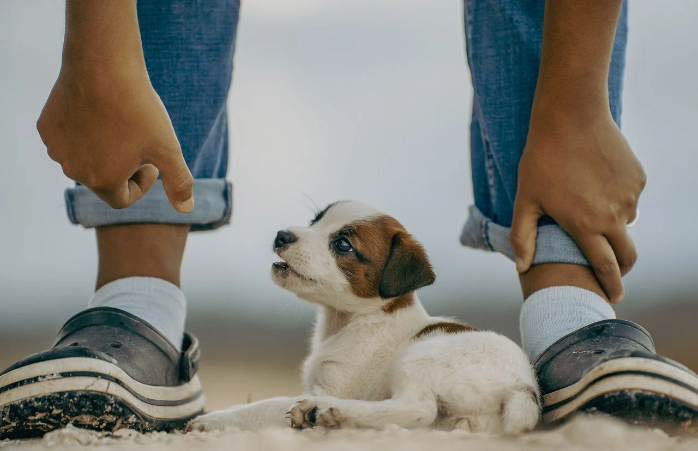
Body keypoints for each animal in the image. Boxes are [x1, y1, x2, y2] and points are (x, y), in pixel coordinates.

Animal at [189, 203, 540, 436]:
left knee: (417, 409)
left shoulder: (334, 386)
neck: (352, 321)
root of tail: (524, 388)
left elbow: (264, 405)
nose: (282, 235)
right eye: (315, 220)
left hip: (418, 359)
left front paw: (214, 420)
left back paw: (323, 412)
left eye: (343, 244)